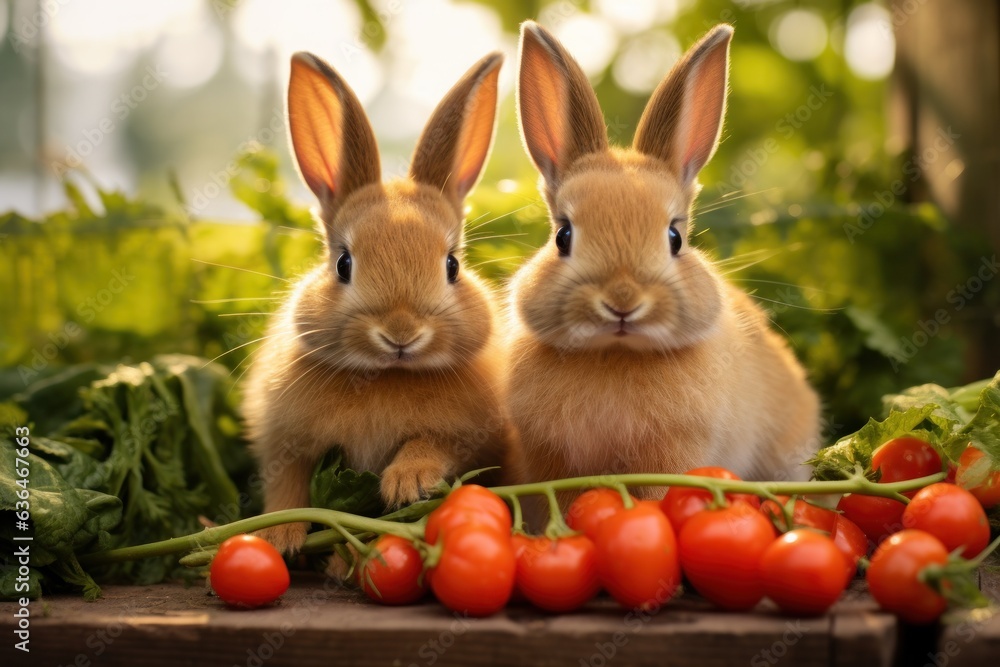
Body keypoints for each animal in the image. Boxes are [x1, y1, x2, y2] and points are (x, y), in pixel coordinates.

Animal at [242, 51, 508, 552]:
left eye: (452, 266)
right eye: (343, 263)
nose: (401, 333)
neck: (387, 375)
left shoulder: (464, 436)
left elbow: (429, 446)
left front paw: (407, 484)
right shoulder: (285, 442)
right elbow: (287, 487)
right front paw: (279, 536)